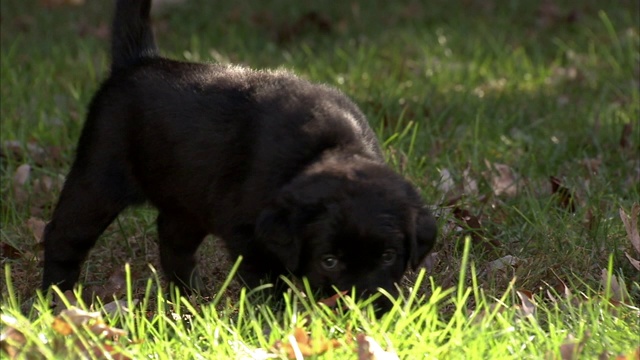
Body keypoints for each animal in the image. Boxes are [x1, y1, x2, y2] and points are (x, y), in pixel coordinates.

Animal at [42, 0, 438, 310]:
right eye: (329, 260)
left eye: (388, 255)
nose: (363, 311)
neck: (327, 150)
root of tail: (137, 61)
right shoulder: (248, 234)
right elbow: (268, 281)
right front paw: (276, 319)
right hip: (98, 176)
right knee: (63, 235)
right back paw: (55, 303)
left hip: (188, 200)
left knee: (172, 241)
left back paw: (192, 300)